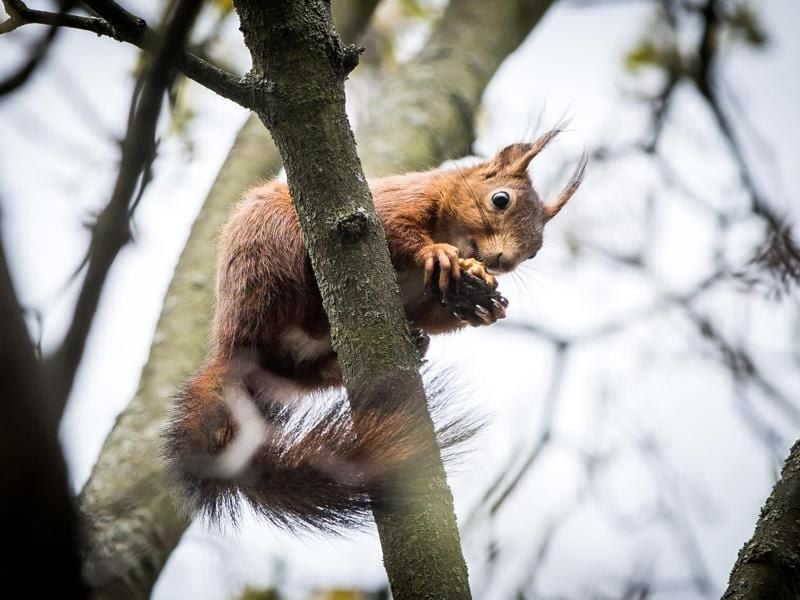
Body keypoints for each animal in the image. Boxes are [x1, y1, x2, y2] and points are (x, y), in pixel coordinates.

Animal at [164, 127, 587, 530]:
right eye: (501, 199)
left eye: (534, 251)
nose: (504, 261)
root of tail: (233, 353)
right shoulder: (393, 203)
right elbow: (397, 229)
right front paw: (436, 253)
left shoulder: (423, 297)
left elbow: (432, 312)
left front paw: (479, 305)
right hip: (270, 249)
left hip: (299, 363)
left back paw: (407, 344)